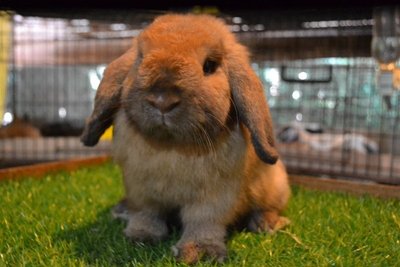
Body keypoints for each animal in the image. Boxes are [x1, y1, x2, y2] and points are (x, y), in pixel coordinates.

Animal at [81, 13, 292, 264]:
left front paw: (200, 253)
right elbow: (146, 213)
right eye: (140, 58)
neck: (172, 146)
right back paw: (121, 210)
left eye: (210, 66)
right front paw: (140, 237)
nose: (162, 100)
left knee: (268, 206)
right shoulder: (140, 188)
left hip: (275, 185)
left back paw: (267, 223)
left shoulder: (214, 196)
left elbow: (203, 221)